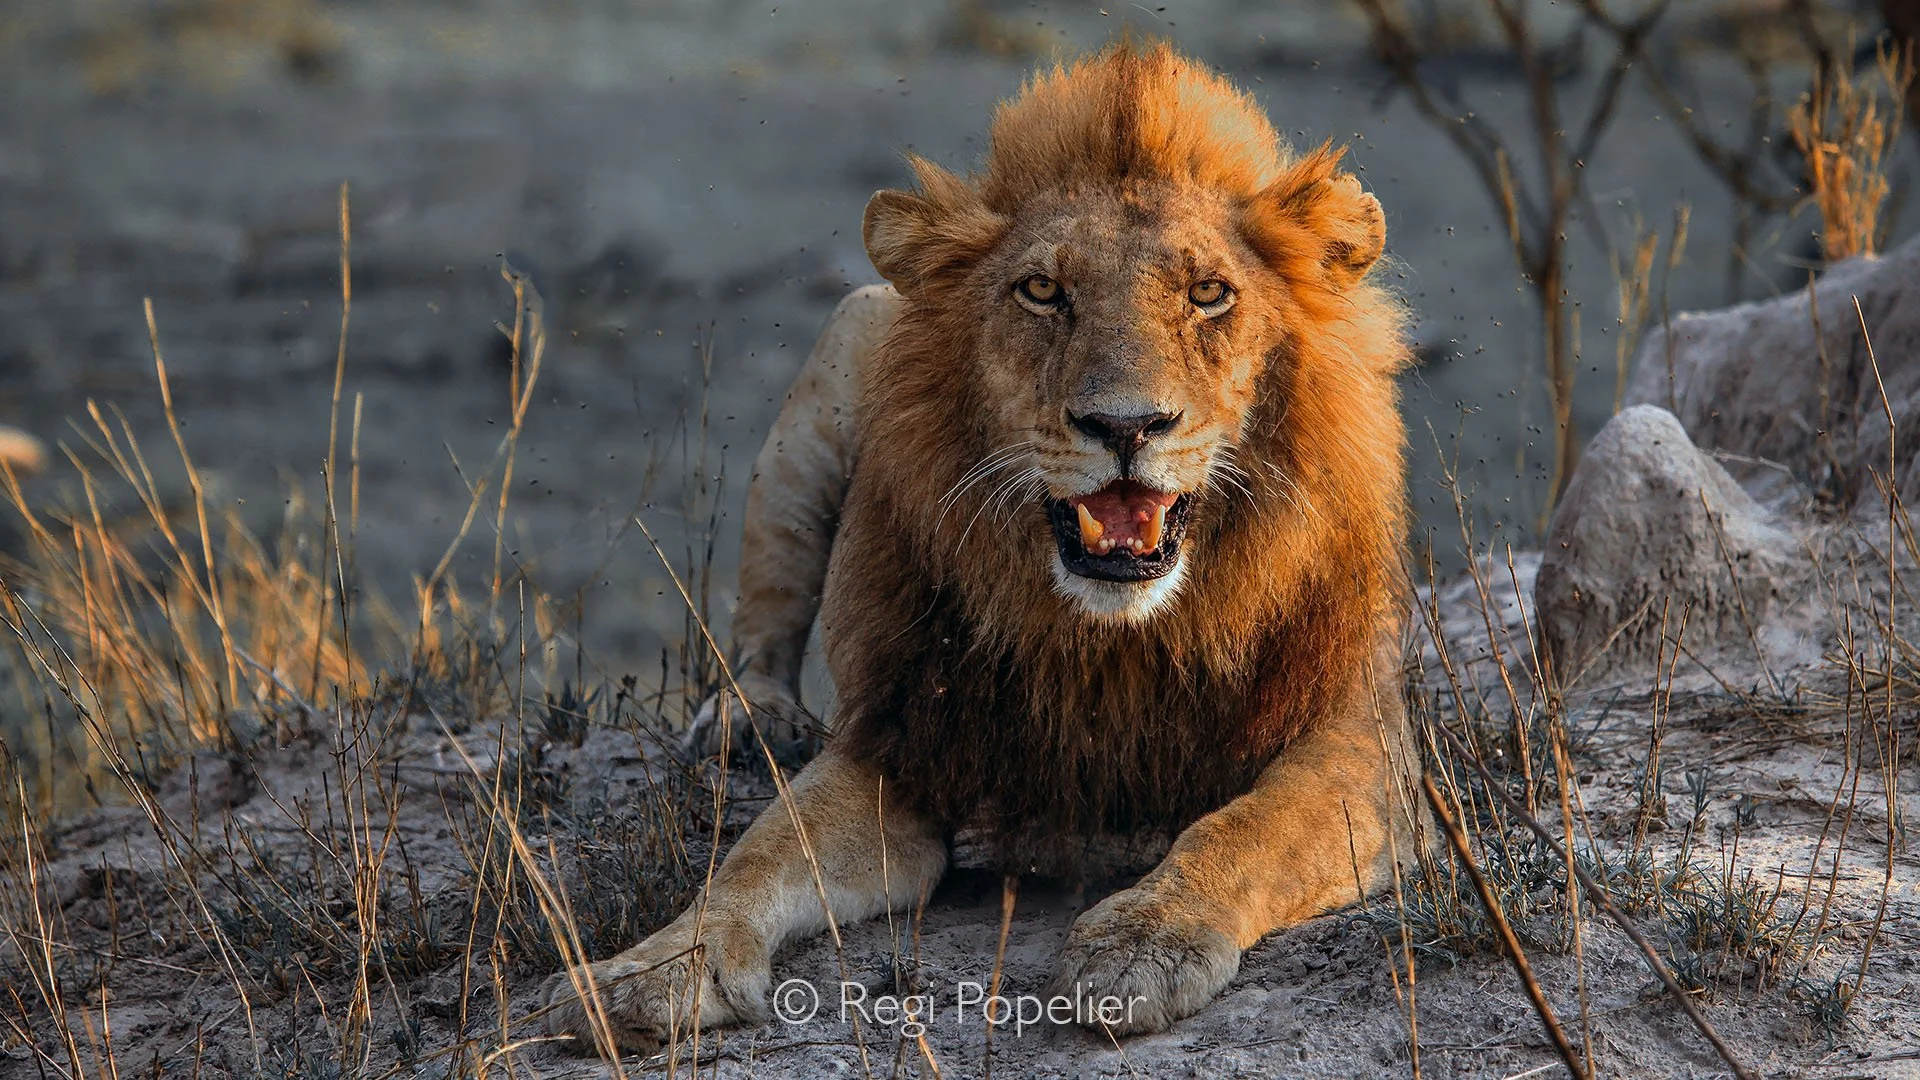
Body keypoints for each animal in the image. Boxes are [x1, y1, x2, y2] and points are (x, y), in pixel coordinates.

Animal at [543, 41, 1424, 1052]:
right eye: (1043, 291)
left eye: (1210, 296)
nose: (1126, 425)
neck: (1111, 640)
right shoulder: (902, 742)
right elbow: (759, 854)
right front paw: (651, 971)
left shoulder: (1360, 738)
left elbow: (1251, 829)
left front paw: (1144, 941)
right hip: (833, 368)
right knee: (765, 621)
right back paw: (751, 720)